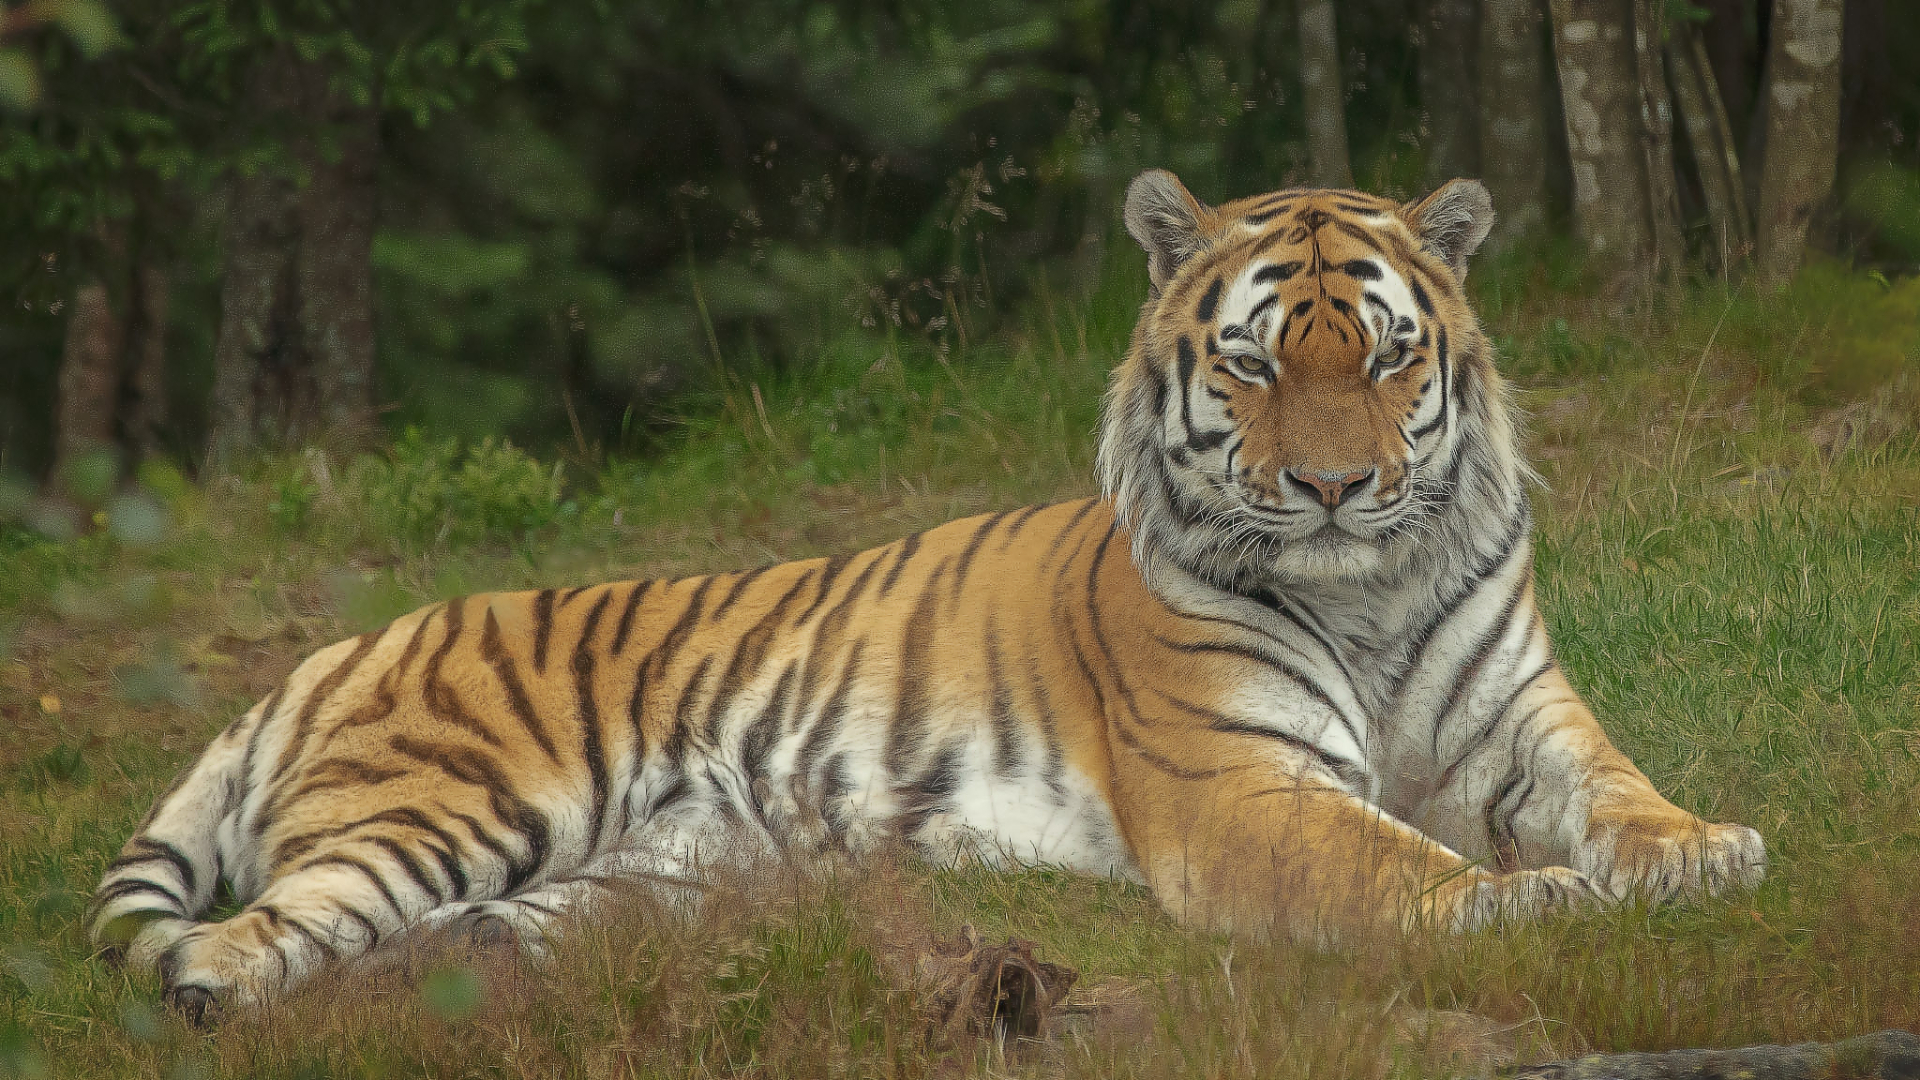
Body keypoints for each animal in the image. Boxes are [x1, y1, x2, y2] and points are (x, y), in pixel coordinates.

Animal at [91, 170, 1766, 1023]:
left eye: (1389, 354)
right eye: (1252, 362)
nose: (1338, 488)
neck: (1370, 590)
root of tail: (314, 654)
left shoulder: (1522, 724)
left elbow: (1625, 794)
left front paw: (1703, 853)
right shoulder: (1241, 789)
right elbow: (1398, 867)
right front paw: (1535, 900)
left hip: (627, 885)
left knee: (429, 949)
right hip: (446, 806)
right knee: (231, 944)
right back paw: (223, 1003)